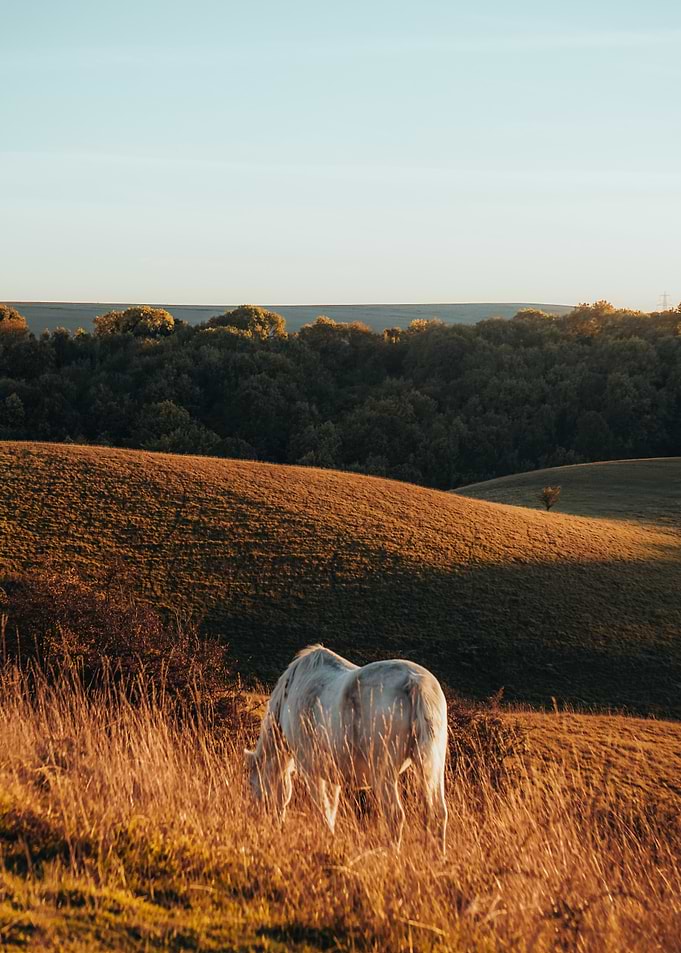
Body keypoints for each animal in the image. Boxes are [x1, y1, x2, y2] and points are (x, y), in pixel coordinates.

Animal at [244, 645, 448, 852]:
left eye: (252, 785)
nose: (260, 821)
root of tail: (415, 682)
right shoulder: (331, 775)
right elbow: (330, 809)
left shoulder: (310, 769)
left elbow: (322, 809)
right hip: (432, 765)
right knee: (438, 813)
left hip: (384, 769)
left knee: (395, 815)